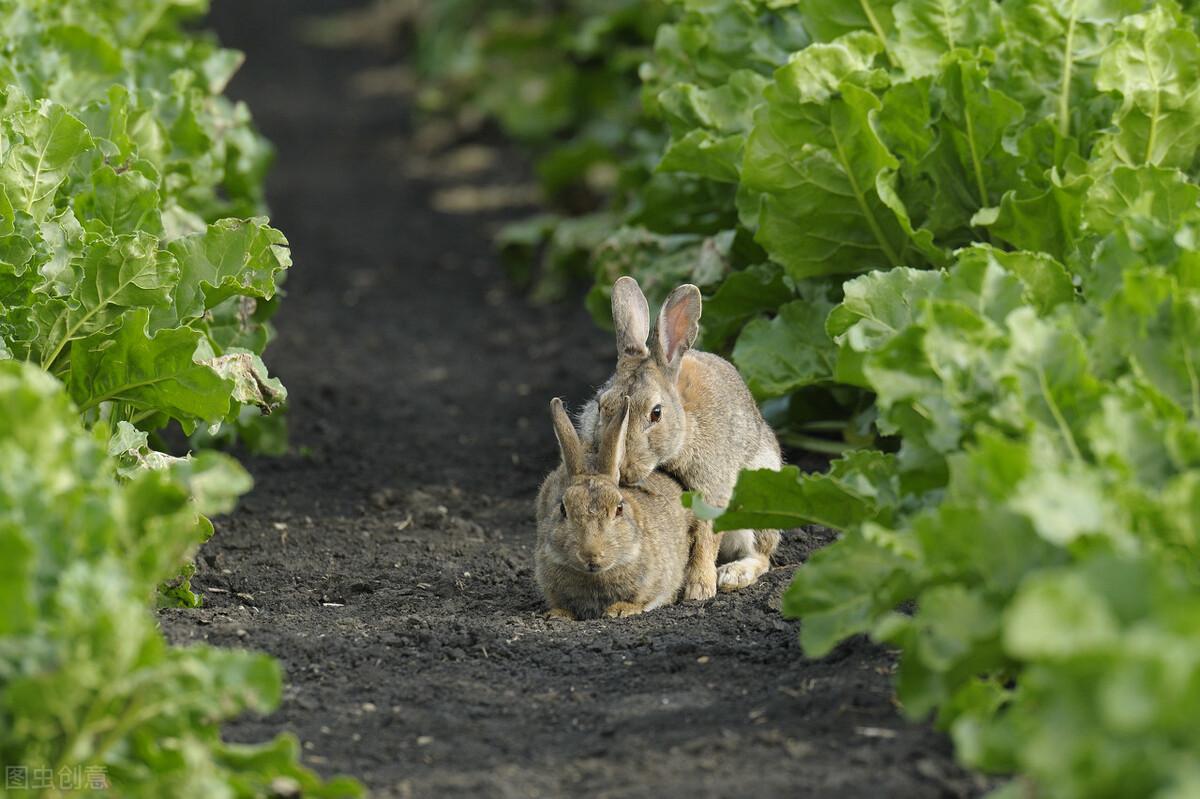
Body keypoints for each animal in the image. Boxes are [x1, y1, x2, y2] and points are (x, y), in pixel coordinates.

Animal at [576, 273, 782, 590]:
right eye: (601, 405)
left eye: (656, 413)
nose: (622, 469)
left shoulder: (712, 490)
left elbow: (706, 538)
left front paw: (699, 588)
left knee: (762, 555)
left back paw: (733, 575)